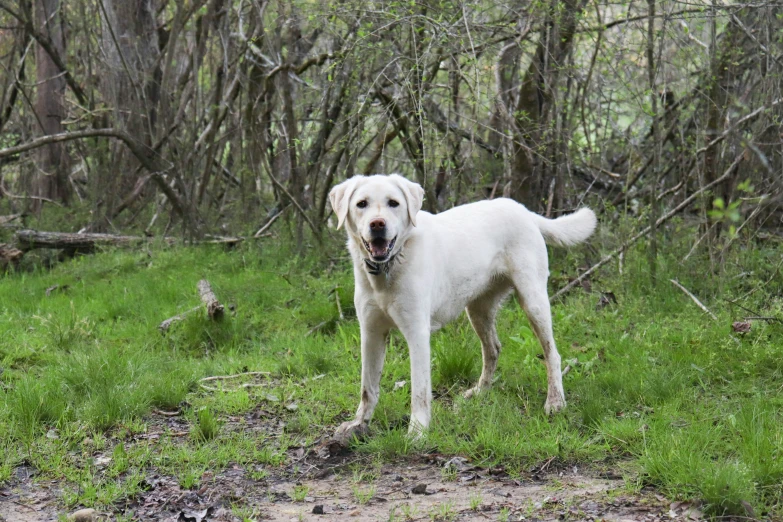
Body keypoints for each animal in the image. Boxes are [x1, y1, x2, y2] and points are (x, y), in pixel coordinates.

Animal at [330, 175, 596, 438]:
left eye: (393, 203)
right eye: (361, 204)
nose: (377, 224)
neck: (389, 267)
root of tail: (523, 210)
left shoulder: (417, 333)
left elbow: (419, 391)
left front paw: (417, 431)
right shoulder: (371, 332)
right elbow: (368, 387)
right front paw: (358, 424)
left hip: (534, 302)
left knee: (552, 354)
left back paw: (555, 402)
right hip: (478, 310)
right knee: (493, 349)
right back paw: (480, 392)